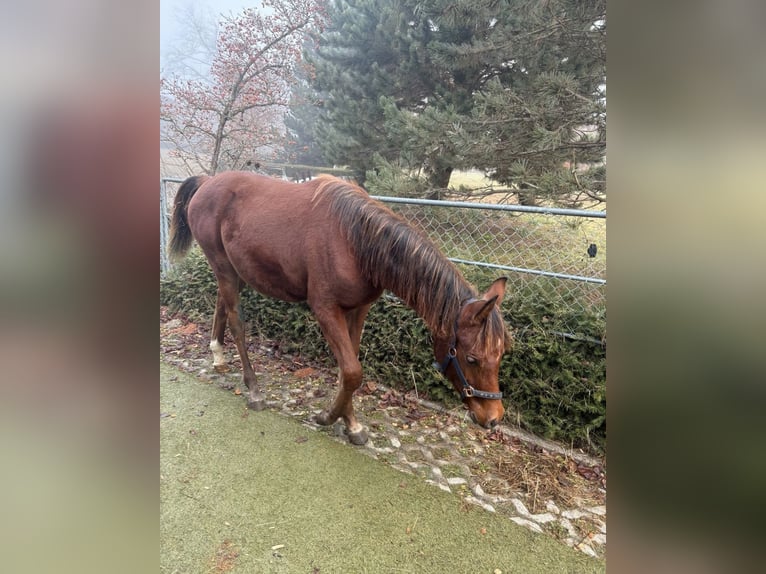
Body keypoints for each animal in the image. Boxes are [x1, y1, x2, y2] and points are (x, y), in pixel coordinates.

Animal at [168, 172, 511, 445]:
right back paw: (253, 389)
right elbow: (353, 371)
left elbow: (350, 369)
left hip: (231, 270)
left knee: (220, 305)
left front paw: (350, 423)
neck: (355, 241)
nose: (494, 417)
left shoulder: (358, 310)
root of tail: (208, 181)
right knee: (237, 322)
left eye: (500, 356)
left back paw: (217, 355)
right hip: (223, 266)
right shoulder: (325, 309)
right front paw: (329, 417)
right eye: (472, 358)